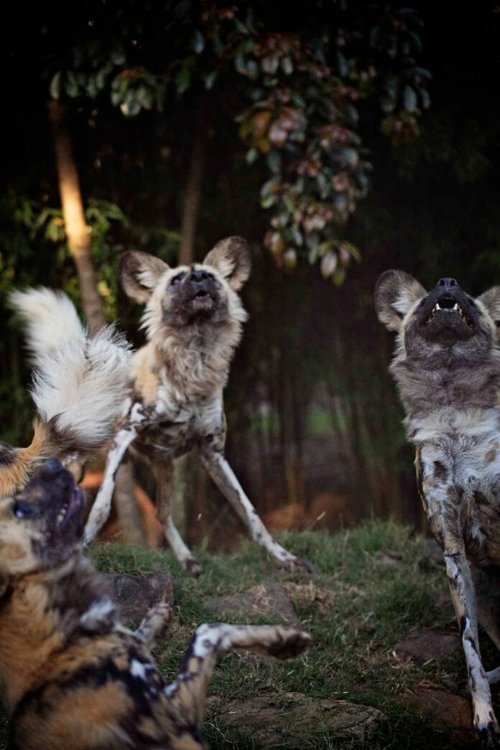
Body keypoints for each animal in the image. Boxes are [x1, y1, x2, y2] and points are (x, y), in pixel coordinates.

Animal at [0, 458, 310, 750]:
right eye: (20, 510)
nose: (52, 463)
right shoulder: (178, 716)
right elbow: (208, 631)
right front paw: (287, 640)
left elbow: (157, 633)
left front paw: (156, 618)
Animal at [84, 238, 314, 572]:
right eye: (176, 280)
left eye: (211, 276)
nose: (199, 278)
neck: (195, 360)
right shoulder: (125, 434)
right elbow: (101, 506)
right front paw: (83, 545)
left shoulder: (213, 453)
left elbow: (251, 514)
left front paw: (283, 557)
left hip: (165, 467)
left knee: (162, 512)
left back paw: (187, 559)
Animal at [376, 270, 500, 748]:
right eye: (429, 295)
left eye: (467, 296)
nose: (448, 281)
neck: (454, 413)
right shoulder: (454, 552)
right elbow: (470, 652)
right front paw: (484, 715)